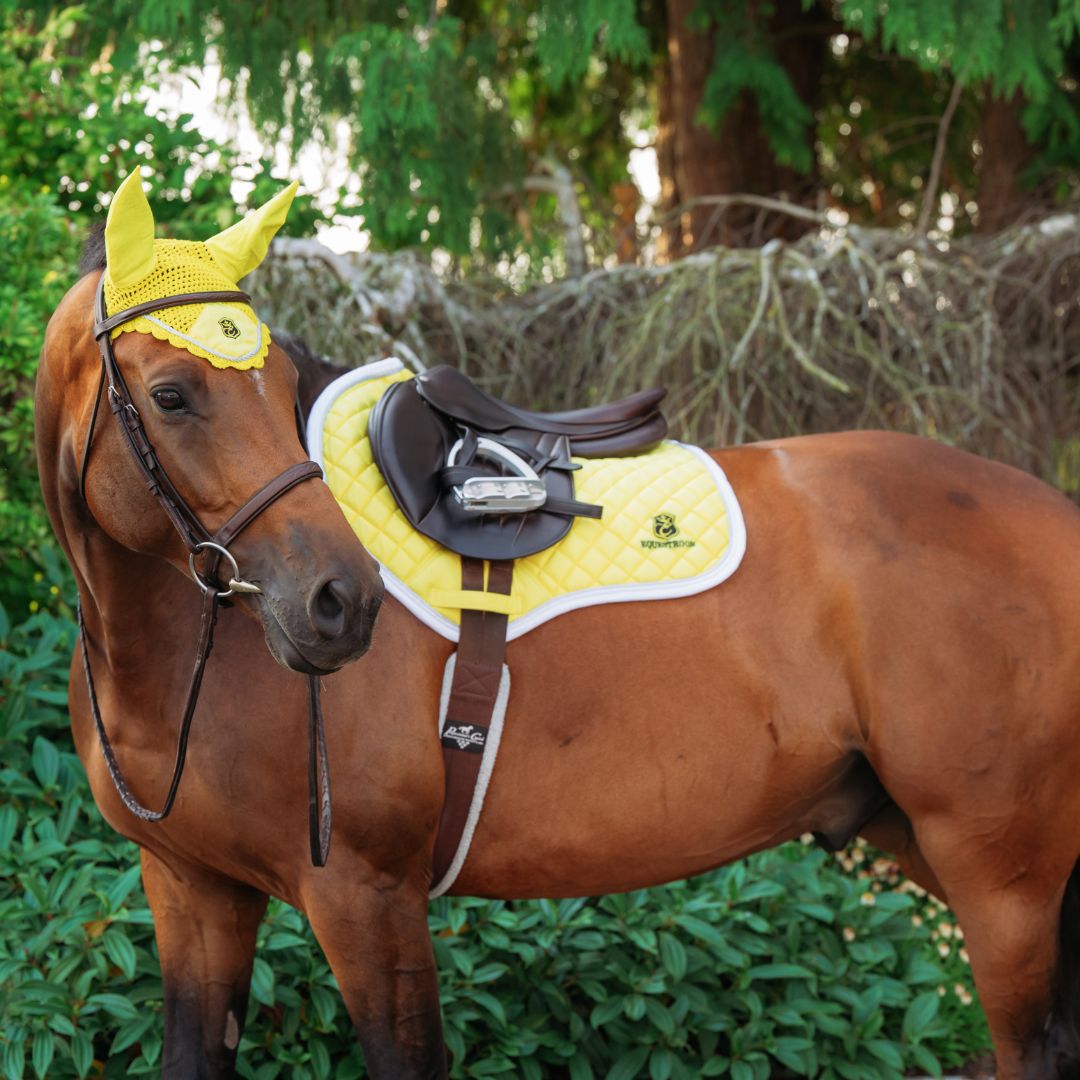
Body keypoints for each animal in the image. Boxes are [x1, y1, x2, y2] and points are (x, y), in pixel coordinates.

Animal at [36, 181, 1080, 1080]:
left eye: (280, 377)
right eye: (171, 394)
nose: (340, 602)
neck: (186, 661)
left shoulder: (368, 900)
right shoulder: (192, 892)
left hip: (1003, 878)